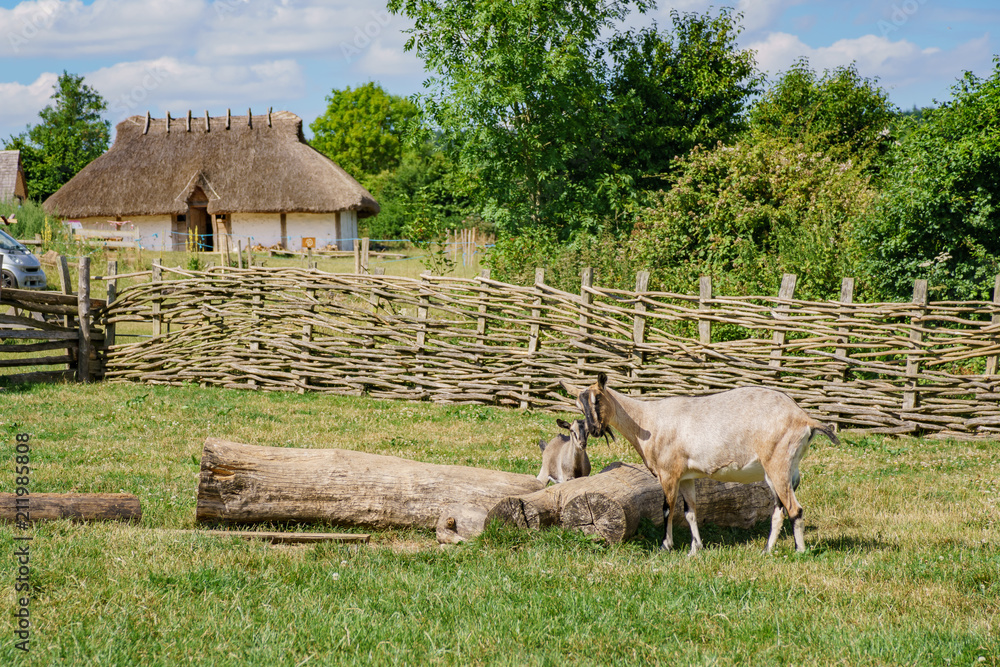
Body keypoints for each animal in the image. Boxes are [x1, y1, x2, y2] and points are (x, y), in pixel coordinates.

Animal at [565, 373, 839, 554]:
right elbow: (690, 512)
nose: (594, 430)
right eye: (579, 404)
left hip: (778, 464)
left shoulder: (669, 473)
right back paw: (766, 551)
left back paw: (799, 551)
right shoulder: (687, 476)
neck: (648, 421)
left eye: (598, 399)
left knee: (795, 508)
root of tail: (804, 418)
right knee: (779, 509)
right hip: (781, 471)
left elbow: (667, 508)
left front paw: (666, 546)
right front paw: (695, 548)